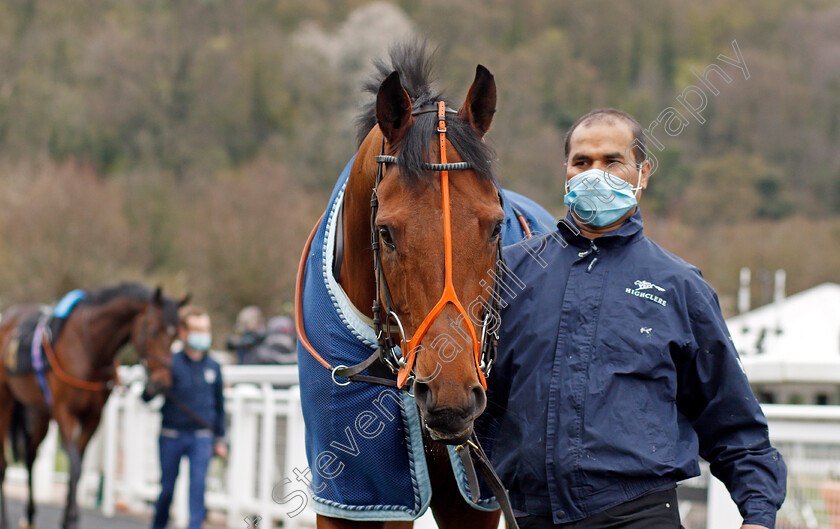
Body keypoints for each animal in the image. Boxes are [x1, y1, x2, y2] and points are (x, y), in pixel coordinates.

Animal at [0, 282, 183, 528]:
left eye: (175, 336)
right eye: (153, 330)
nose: (162, 383)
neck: (88, 348)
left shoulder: (93, 417)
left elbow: (78, 465)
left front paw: (68, 518)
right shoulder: (63, 412)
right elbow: (75, 464)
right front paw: (72, 517)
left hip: (40, 411)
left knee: (30, 455)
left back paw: (29, 516)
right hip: (6, 402)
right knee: (4, 463)